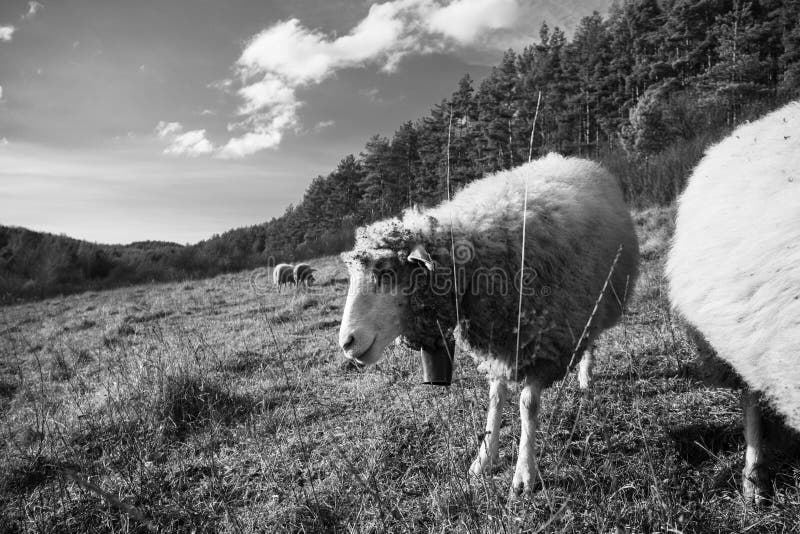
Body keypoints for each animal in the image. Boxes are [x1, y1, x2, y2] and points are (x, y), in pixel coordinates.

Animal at [338, 153, 636, 496]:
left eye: (386, 272)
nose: (346, 343)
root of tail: (576, 160)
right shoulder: (499, 340)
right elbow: (495, 399)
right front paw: (483, 459)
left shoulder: (548, 340)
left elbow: (527, 404)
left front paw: (524, 474)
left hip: (595, 301)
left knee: (591, 338)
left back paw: (586, 376)